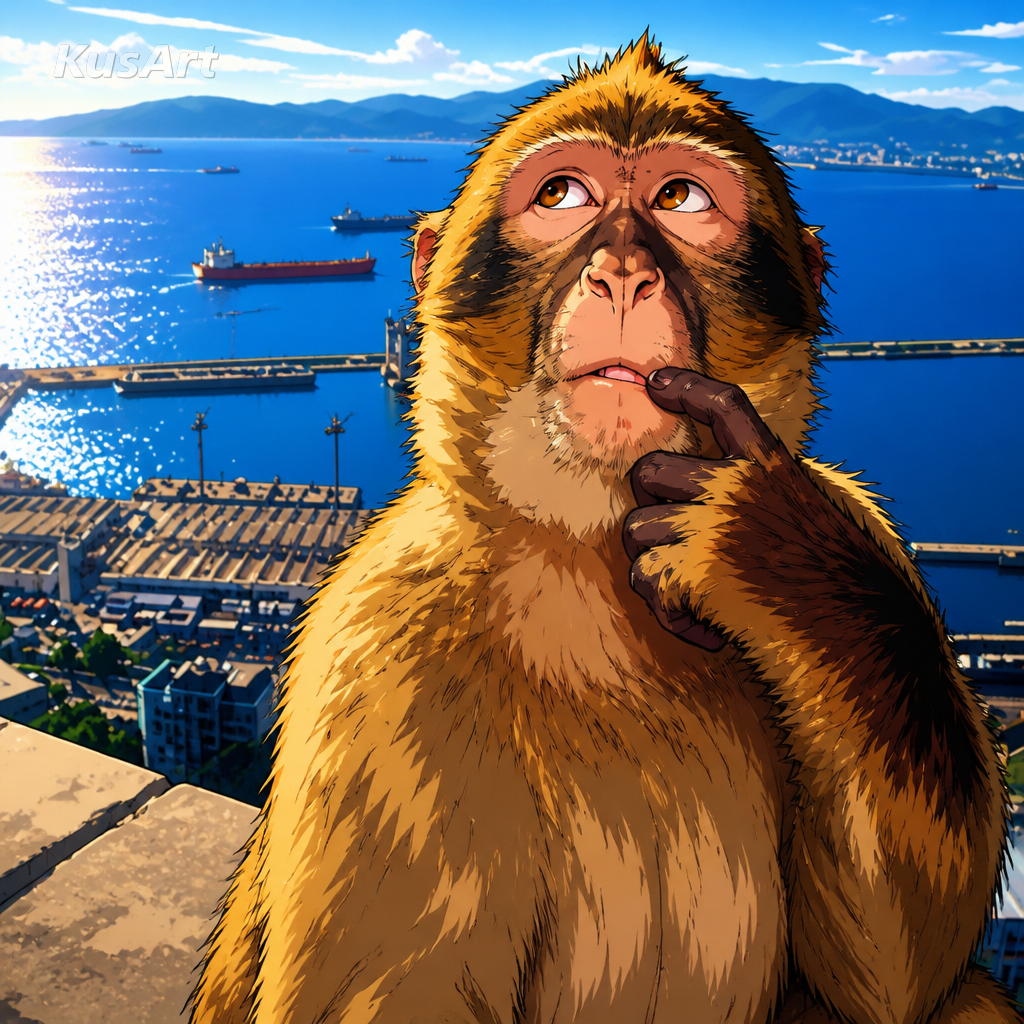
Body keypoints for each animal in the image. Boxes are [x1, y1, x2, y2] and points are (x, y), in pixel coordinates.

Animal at [189, 37, 1019, 1024]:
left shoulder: (864, 524)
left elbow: (896, 977)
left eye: (681, 199)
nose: (622, 272)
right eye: (562, 196)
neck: (595, 567)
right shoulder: (378, 647)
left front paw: (764, 550)